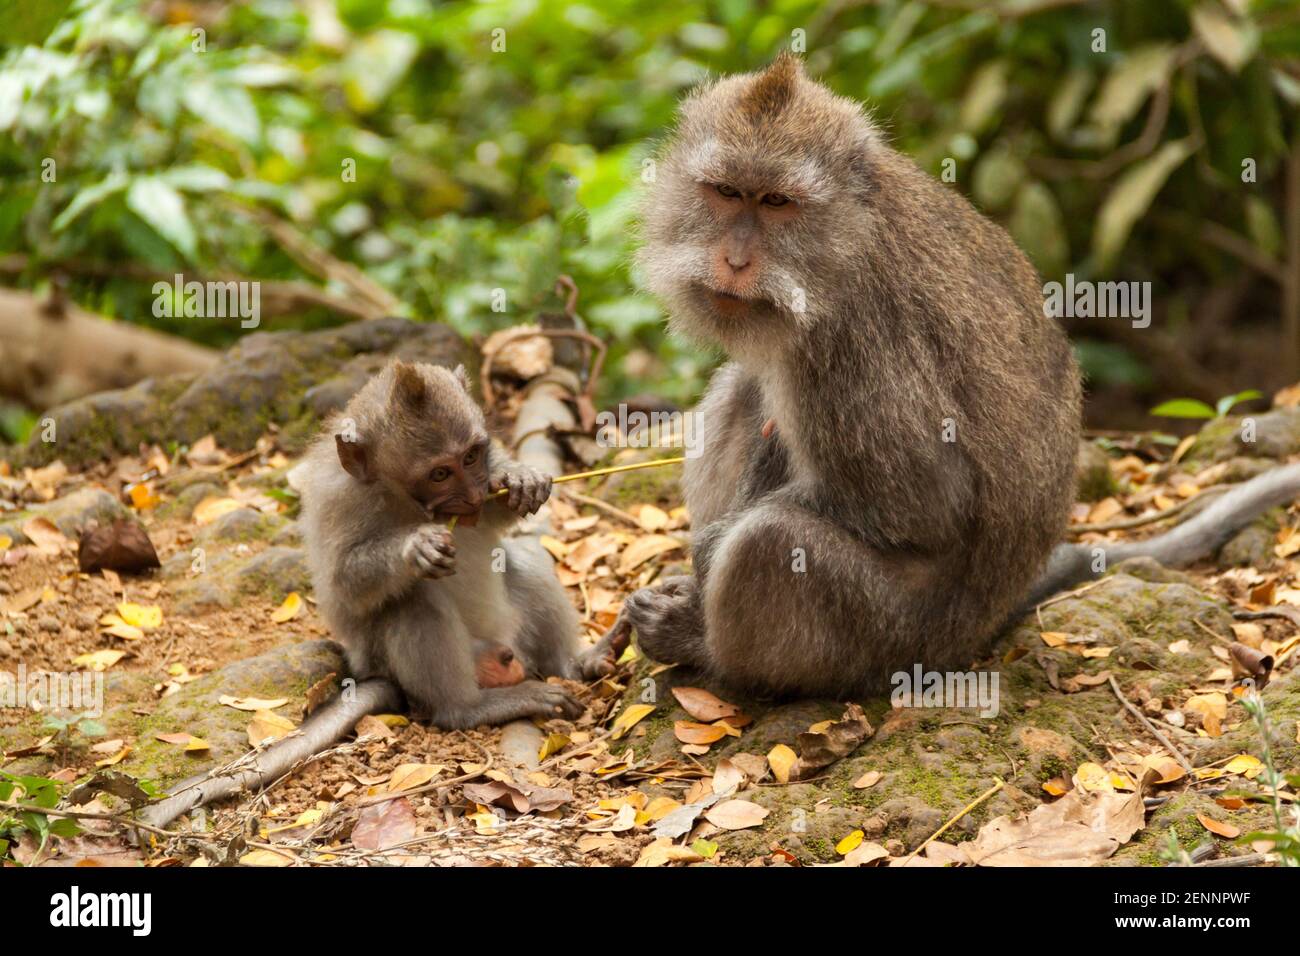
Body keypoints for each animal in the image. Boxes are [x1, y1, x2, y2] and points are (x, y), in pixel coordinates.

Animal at [299, 361, 613, 728]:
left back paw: (573, 665)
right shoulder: (341, 500)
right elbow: (342, 583)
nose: (474, 495)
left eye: (471, 457)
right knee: (412, 600)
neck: (403, 499)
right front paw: (415, 547)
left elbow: (493, 514)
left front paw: (520, 480)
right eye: (440, 475)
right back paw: (470, 708)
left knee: (521, 561)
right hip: (383, 662)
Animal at [611, 54, 1300, 697]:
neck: (842, 241)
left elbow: (924, 506)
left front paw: (702, 563)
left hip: (898, 631)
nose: (734, 259)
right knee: (743, 389)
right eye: (726, 192)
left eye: (777, 203)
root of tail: (992, 615)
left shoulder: (854, 342)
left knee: (773, 543)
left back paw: (707, 652)